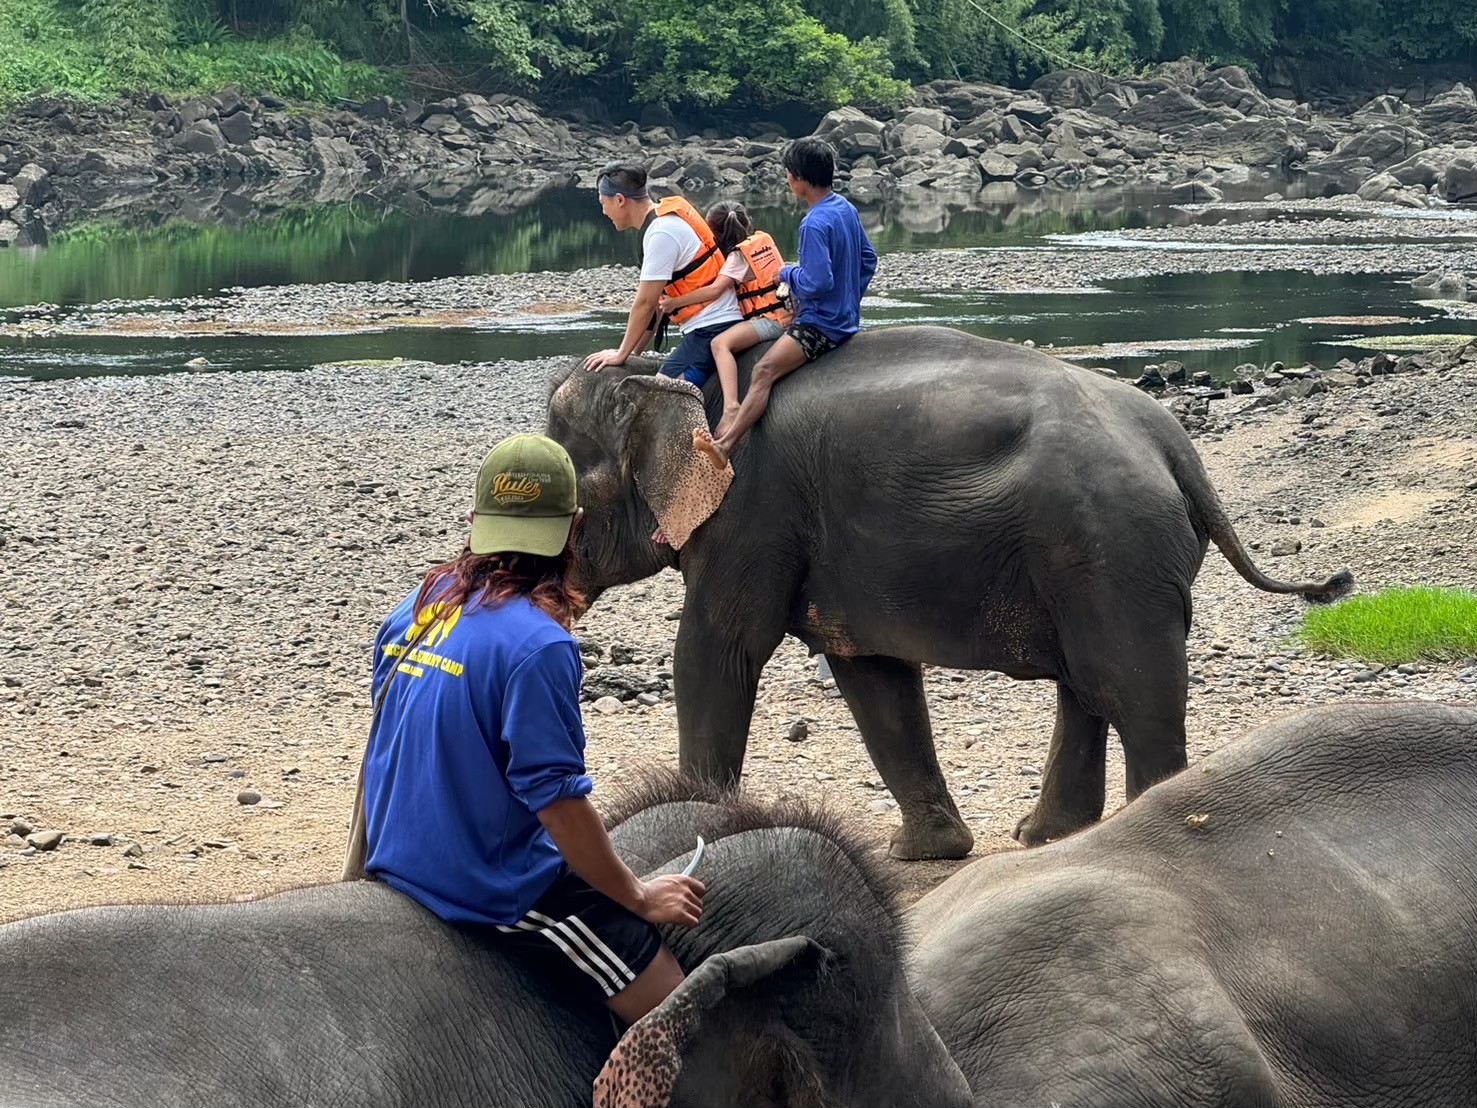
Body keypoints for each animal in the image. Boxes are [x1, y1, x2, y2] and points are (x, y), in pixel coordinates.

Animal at [545, 325, 1353, 858]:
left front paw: (683, 830)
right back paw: (1047, 836)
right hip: (1097, 558)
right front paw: (926, 852)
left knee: (1130, 687)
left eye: (563, 488)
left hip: (1112, 544)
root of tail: (1175, 444)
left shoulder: (751, 508)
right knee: (1088, 684)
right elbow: (872, 677)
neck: (663, 376)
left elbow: (717, 651)